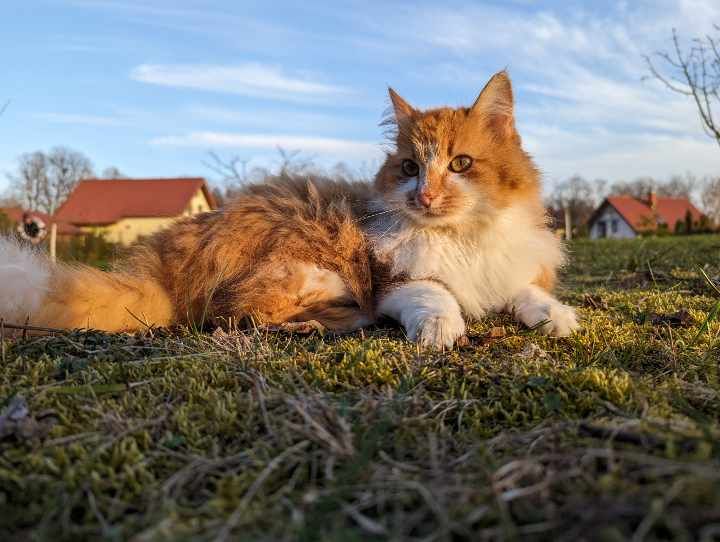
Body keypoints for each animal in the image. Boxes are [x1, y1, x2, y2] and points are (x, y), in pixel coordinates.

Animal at [0, 71, 576, 348]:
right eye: (411, 168)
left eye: (460, 164)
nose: (425, 197)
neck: (462, 238)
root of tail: (161, 261)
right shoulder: (391, 281)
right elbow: (435, 295)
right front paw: (442, 328)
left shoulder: (510, 268)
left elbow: (526, 292)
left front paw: (556, 317)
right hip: (315, 266)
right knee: (236, 315)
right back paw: (329, 323)